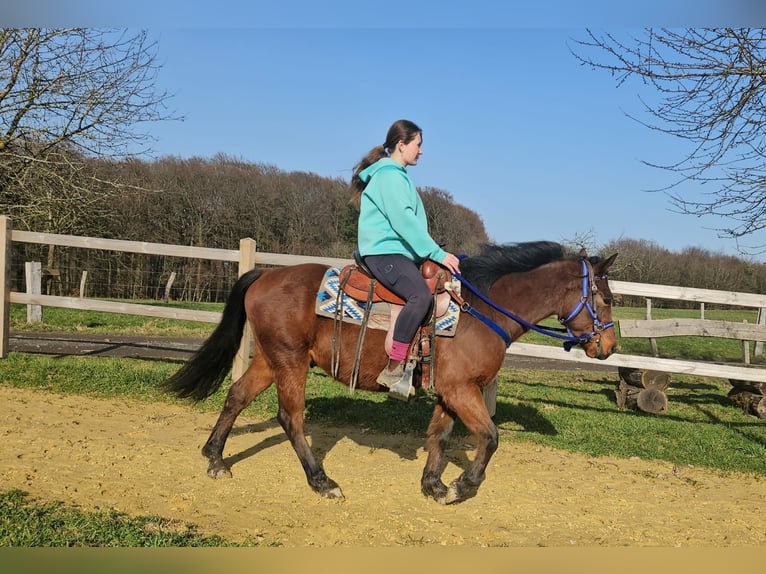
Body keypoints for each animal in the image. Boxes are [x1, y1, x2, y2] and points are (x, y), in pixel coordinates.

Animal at [163, 241, 618, 505]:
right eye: (608, 298)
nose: (609, 347)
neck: (479, 309)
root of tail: (265, 274)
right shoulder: (461, 389)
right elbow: (489, 438)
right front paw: (461, 487)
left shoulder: (449, 391)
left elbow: (441, 436)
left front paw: (433, 485)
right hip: (289, 363)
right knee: (290, 418)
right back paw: (322, 481)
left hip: (271, 359)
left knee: (237, 396)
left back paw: (215, 459)